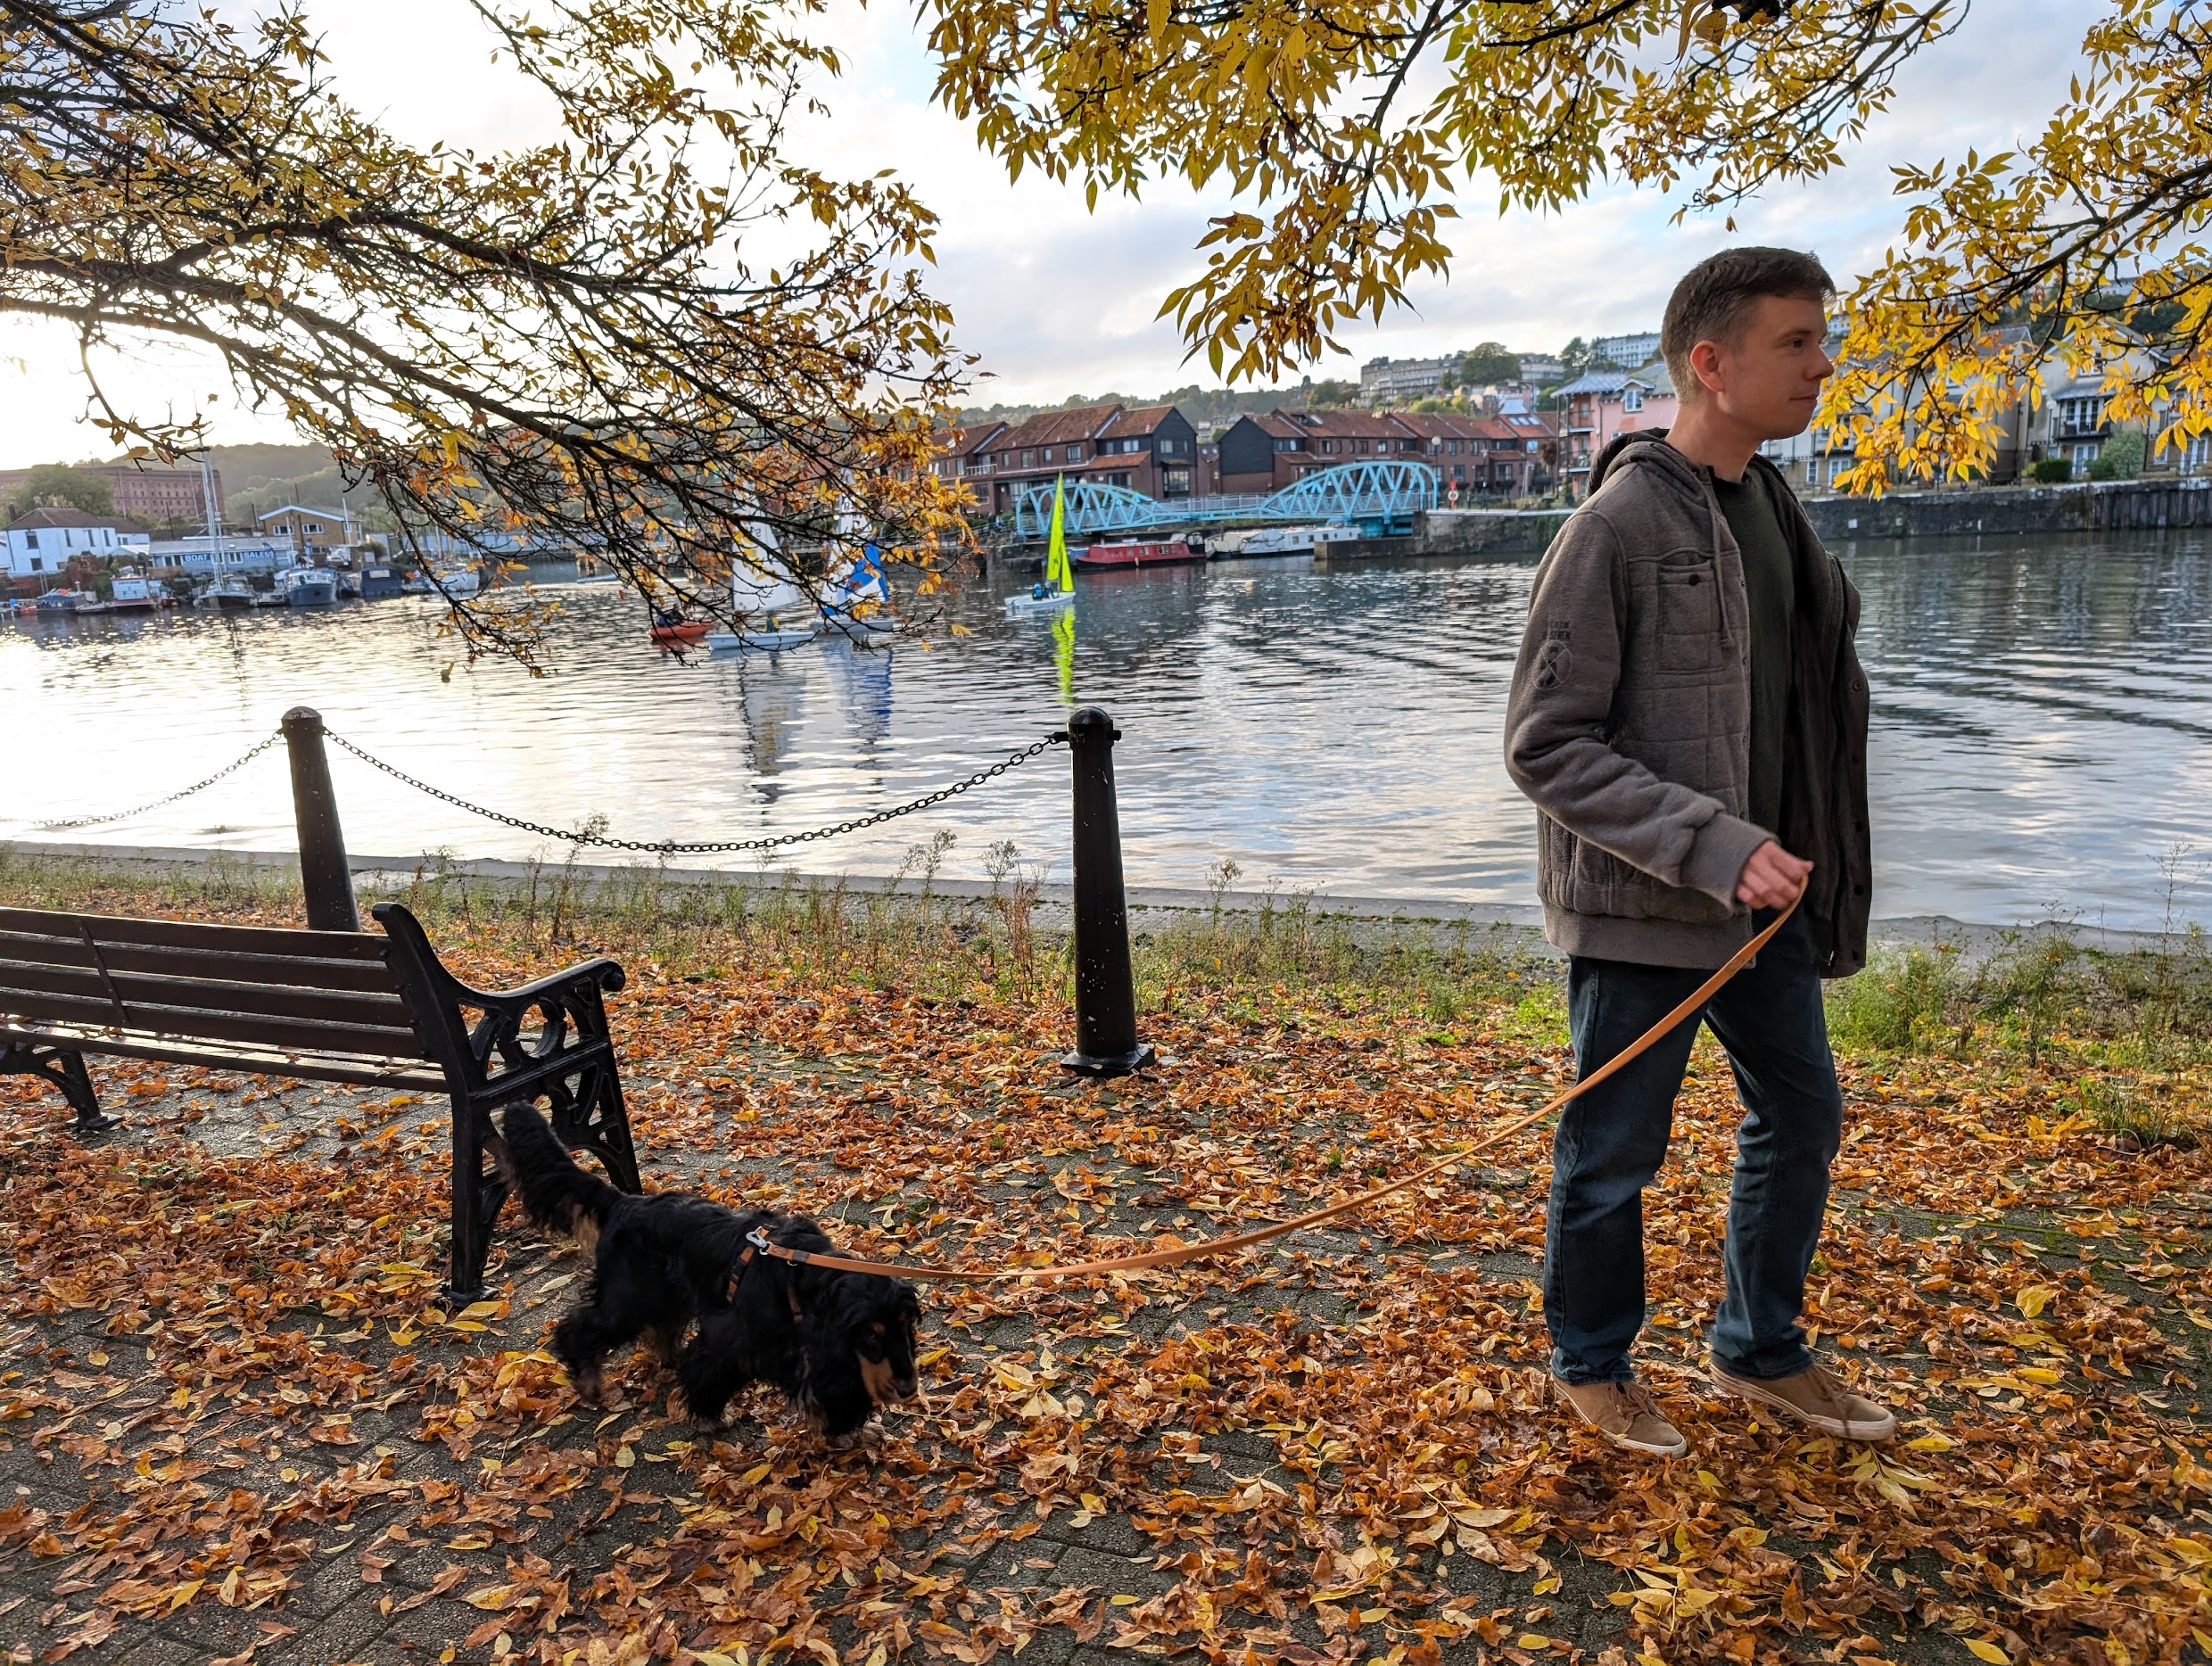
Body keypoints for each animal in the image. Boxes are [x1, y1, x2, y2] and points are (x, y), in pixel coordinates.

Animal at [498, 1097, 920, 1433]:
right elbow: (711, 1372)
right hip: (628, 1298)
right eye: (871, 1336)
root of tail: (624, 1202)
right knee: (581, 1328)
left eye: (905, 1327)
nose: (909, 1389)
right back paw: (588, 1380)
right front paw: (706, 1417)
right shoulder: (732, 1338)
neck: (800, 1273)